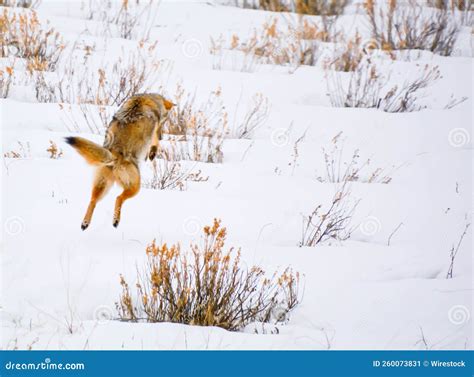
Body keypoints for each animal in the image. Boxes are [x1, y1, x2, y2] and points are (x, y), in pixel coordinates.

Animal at [64, 94, 173, 229]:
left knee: (93, 200)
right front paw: (152, 153)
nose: (163, 136)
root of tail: (114, 155)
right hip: (135, 187)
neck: (146, 99)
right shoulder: (154, 131)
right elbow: (155, 143)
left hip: (103, 186)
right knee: (118, 198)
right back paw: (115, 221)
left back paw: (85, 223)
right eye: (165, 122)